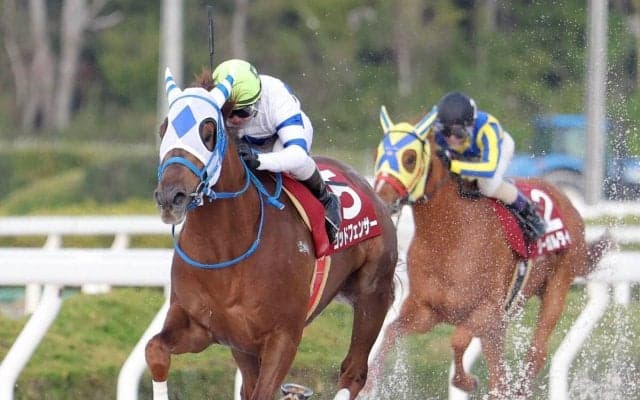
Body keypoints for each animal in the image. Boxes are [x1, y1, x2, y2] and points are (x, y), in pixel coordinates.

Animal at [145, 69, 398, 400]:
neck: (226, 248)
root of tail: (371, 188)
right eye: (164, 129)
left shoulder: (283, 336)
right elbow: (155, 350)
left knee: (353, 372)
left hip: (372, 293)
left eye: (208, 132)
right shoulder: (203, 326)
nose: (171, 196)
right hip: (243, 345)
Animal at [363, 106, 612, 398]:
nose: (381, 199)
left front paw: (465, 381)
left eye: (410, 158)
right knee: (500, 371)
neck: (449, 238)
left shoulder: (489, 310)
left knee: (536, 351)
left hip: (557, 286)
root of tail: (566, 199)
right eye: (378, 155)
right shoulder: (426, 310)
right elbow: (391, 331)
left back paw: (520, 387)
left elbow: (458, 338)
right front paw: (368, 382)